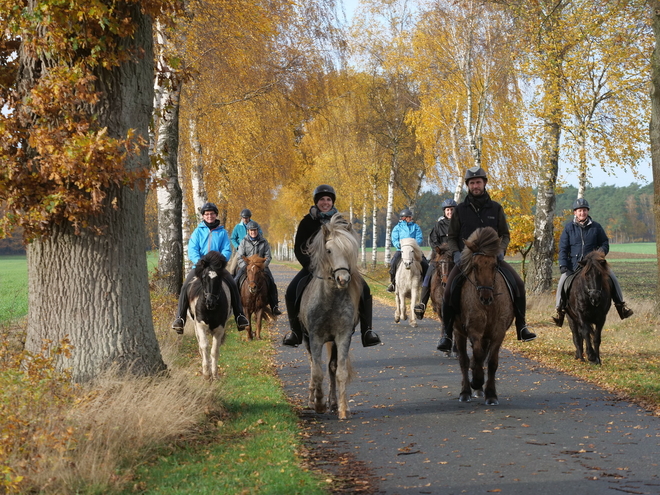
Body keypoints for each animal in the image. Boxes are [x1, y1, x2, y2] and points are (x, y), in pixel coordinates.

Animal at [187, 250, 233, 382]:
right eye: (204, 277)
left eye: (218, 279)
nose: (210, 302)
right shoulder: (200, 325)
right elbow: (204, 347)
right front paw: (206, 374)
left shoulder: (219, 328)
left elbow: (214, 350)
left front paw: (215, 374)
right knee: (200, 346)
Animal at [300, 215, 360, 420]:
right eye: (328, 250)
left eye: (350, 251)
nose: (343, 279)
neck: (330, 299)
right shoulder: (315, 337)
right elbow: (317, 372)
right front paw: (318, 404)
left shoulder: (342, 337)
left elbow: (340, 371)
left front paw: (342, 408)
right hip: (307, 339)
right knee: (313, 365)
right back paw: (312, 400)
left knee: (331, 367)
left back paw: (334, 402)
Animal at [454, 229, 516, 406]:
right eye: (475, 266)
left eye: (495, 265)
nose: (486, 297)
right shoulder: (475, 330)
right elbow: (477, 354)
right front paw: (476, 381)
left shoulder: (498, 333)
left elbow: (492, 362)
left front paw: (491, 394)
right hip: (458, 332)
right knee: (464, 360)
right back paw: (466, 391)